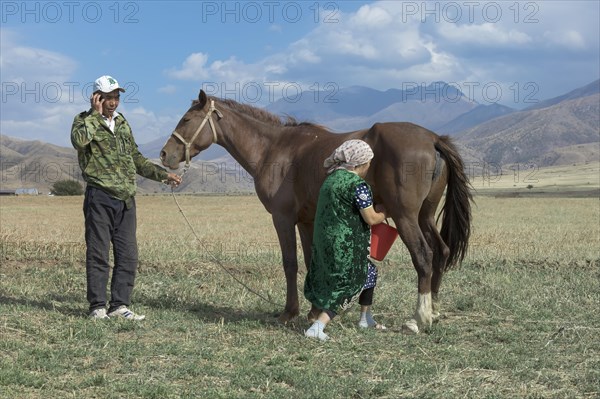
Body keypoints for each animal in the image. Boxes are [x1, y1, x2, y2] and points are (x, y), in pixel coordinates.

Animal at [161, 89, 474, 332]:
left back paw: (419, 317)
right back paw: (433, 309)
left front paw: (289, 312)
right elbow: (312, 261)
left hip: (406, 217)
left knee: (424, 256)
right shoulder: (305, 221)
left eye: (186, 119)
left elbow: (290, 264)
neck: (274, 149)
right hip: (424, 215)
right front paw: (313, 310)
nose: (165, 154)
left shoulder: (283, 218)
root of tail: (432, 138)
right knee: (442, 252)